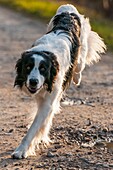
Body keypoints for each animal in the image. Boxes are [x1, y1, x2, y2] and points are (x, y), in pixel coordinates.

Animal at [11, 3, 106, 159]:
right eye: (28, 67)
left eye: (43, 69)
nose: (33, 82)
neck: (46, 52)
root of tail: (68, 9)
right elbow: (41, 122)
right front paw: (40, 137)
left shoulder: (48, 99)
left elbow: (34, 127)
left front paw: (22, 150)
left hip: (81, 52)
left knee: (80, 64)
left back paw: (77, 77)